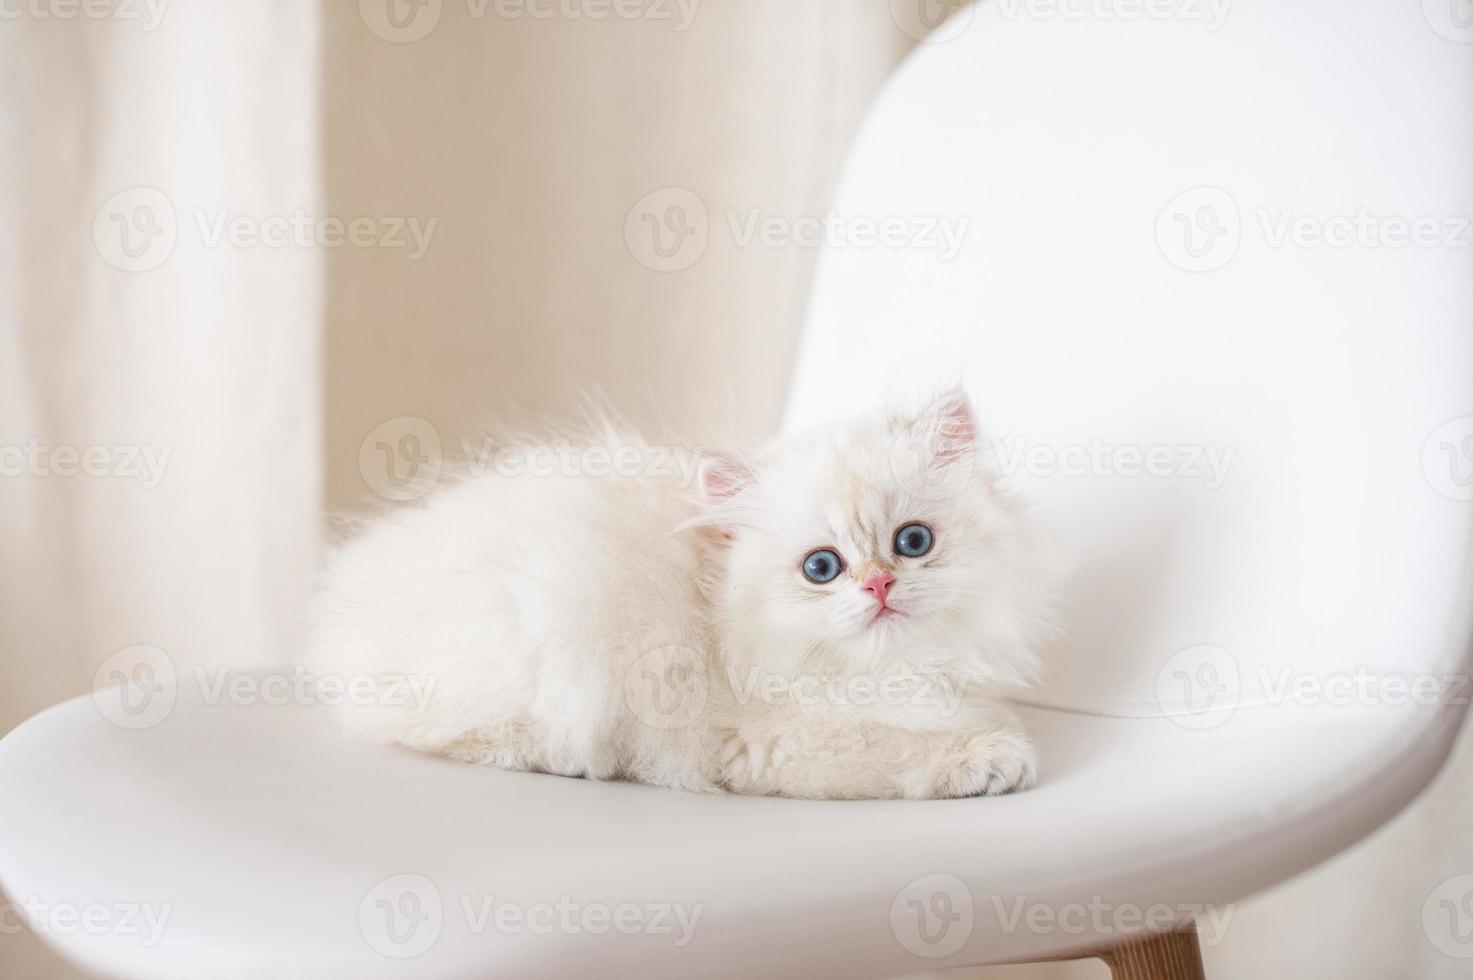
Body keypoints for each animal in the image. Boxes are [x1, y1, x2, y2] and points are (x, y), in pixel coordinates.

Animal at [307, 386, 1048, 801]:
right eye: (821, 568)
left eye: (912, 542)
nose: (878, 583)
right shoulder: (762, 741)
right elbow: (894, 749)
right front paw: (988, 759)